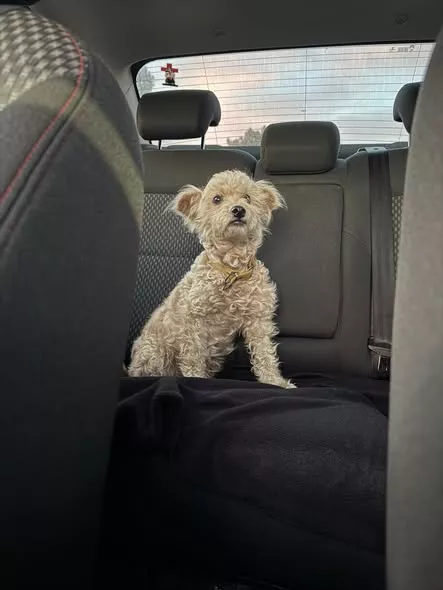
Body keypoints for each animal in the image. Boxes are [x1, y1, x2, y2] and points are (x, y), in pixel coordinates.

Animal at [129, 169, 295, 389]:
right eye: (217, 199)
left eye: (247, 198)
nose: (239, 210)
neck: (231, 270)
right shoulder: (194, 320)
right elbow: (193, 356)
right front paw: (196, 379)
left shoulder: (258, 319)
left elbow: (265, 354)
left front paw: (276, 382)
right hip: (155, 351)